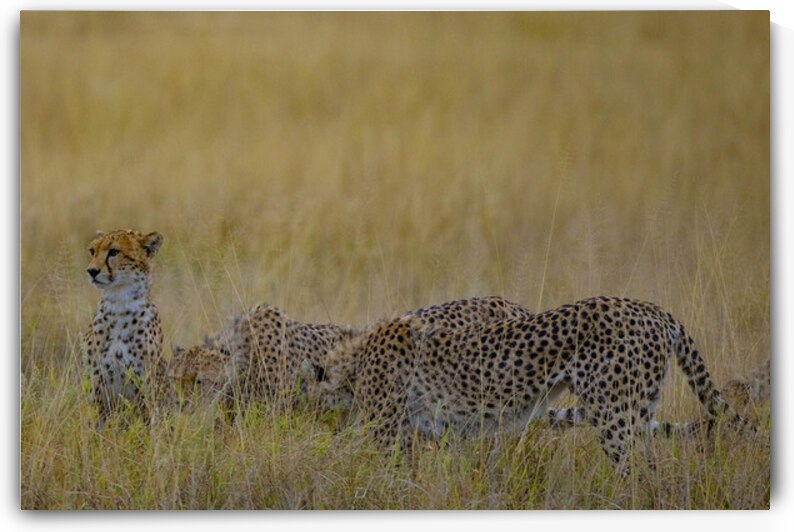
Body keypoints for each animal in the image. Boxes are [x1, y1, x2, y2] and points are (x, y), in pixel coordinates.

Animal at [82, 229, 167, 426]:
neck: (119, 303)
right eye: (92, 251)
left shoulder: (144, 384)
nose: (92, 271)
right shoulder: (96, 382)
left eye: (114, 252)